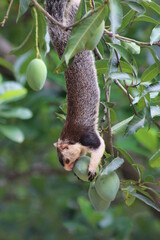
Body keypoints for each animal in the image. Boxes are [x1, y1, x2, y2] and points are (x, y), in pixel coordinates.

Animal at [45, 0, 105, 180]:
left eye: (65, 159)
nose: (68, 169)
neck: (72, 139)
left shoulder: (87, 137)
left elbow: (100, 146)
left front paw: (92, 168)